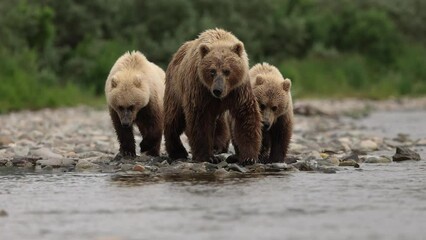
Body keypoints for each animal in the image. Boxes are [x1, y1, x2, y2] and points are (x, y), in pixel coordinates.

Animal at [164, 27, 262, 163]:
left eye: (227, 71)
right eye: (212, 71)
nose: (217, 90)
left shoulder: (238, 90)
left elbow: (245, 116)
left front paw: (248, 157)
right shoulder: (200, 90)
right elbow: (199, 121)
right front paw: (207, 156)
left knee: (220, 123)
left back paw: (218, 147)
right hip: (175, 88)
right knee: (173, 119)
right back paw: (177, 151)